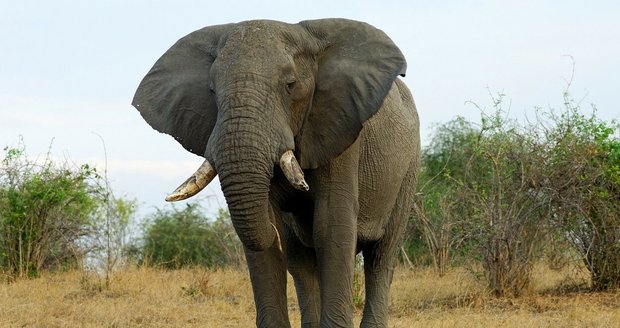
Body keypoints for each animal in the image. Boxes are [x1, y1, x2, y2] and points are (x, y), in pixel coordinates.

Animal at [133, 18, 418, 328]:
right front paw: (273, 224)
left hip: (408, 168)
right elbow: (267, 236)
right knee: (301, 260)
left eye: (290, 85)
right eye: (211, 90)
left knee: (381, 258)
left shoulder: (342, 130)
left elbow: (331, 225)